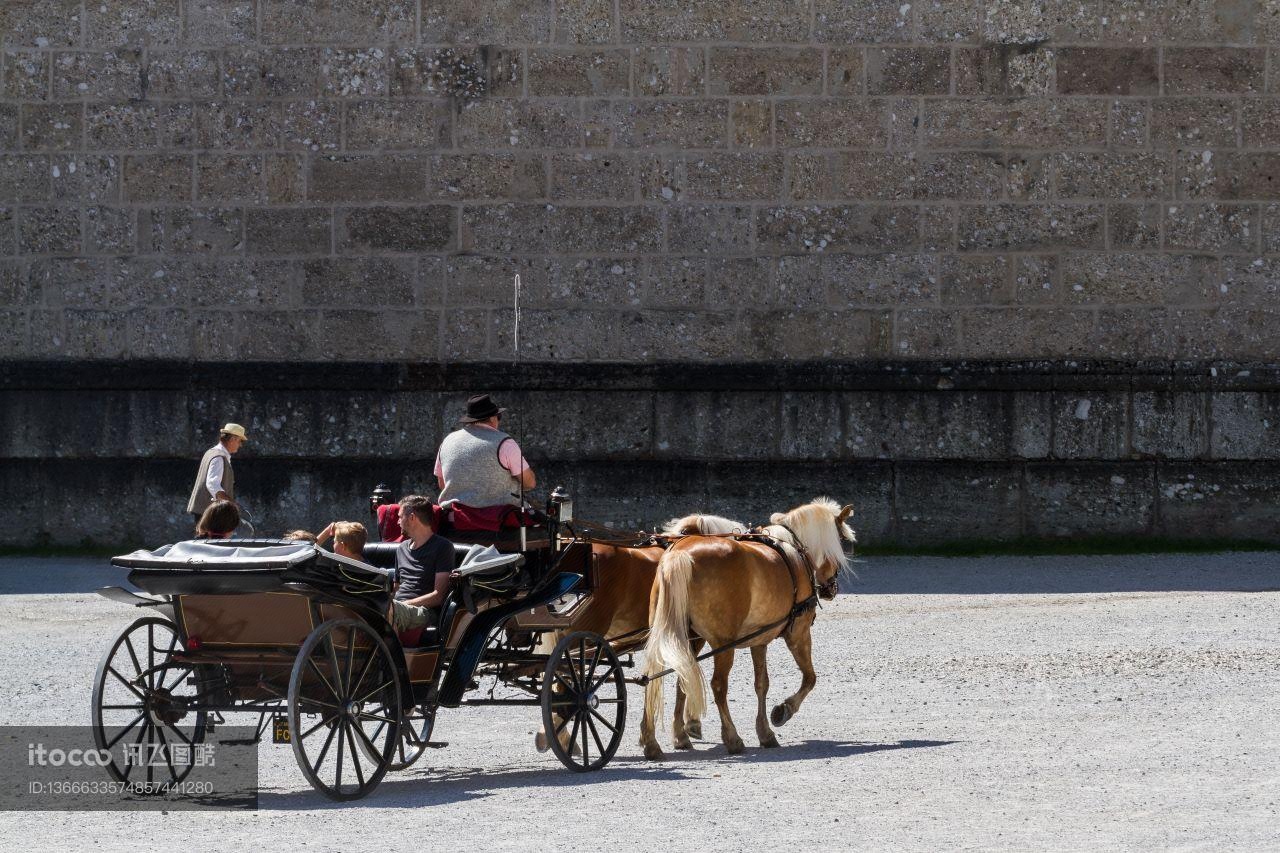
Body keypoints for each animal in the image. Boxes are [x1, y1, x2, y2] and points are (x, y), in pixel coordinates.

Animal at [637, 499, 849, 758]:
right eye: (842, 540)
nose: (831, 589)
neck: (794, 550)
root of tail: (678, 554)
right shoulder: (798, 633)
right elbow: (810, 678)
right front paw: (783, 711)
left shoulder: (760, 640)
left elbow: (762, 684)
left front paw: (765, 732)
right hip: (723, 645)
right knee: (718, 686)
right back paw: (732, 738)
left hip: (681, 637)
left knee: (666, 678)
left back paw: (659, 740)